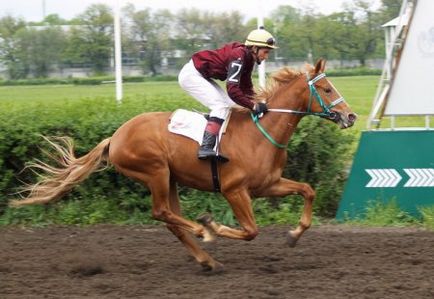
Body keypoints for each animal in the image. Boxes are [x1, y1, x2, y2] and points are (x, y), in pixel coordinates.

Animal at [10, 59, 356, 272]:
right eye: (327, 89)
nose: (350, 116)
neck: (261, 132)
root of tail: (115, 136)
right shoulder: (234, 190)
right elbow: (250, 231)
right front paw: (213, 225)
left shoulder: (267, 184)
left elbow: (308, 190)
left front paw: (294, 234)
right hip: (156, 172)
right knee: (162, 212)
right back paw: (203, 232)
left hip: (171, 179)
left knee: (170, 219)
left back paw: (206, 260)